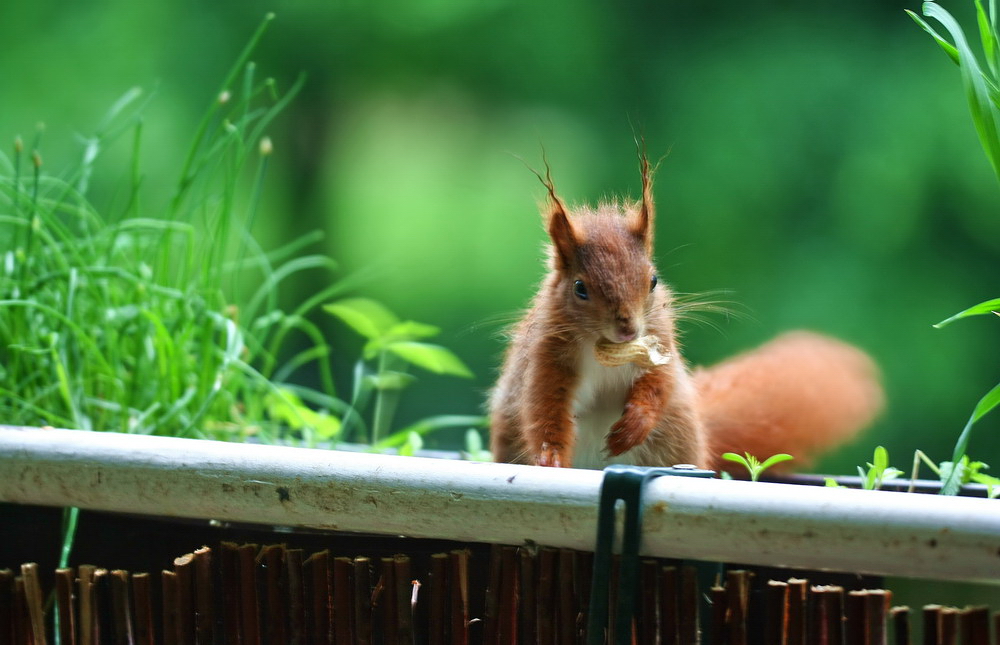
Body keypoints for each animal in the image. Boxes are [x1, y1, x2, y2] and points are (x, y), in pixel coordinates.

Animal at [488, 153, 888, 470]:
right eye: (580, 288)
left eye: (653, 280)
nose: (628, 329)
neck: (607, 351)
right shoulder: (547, 356)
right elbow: (544, 409)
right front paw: (550, 458)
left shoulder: (660, 341)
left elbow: (659, 384)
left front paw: (635, 423)